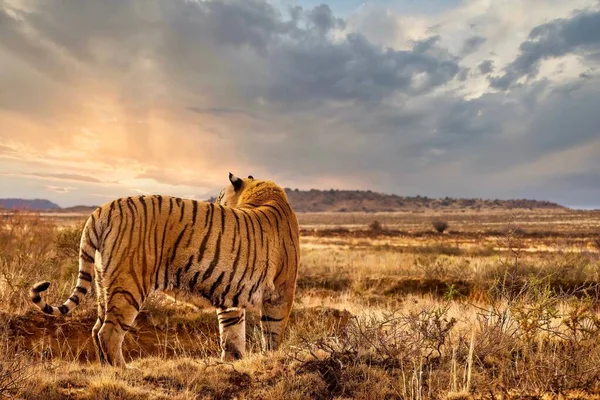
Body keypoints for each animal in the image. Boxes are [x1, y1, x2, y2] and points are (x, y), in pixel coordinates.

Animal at [29, 173, 298, 368]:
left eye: (221, 195)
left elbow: (232, 333)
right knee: (109, 332)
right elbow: (272, 331)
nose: (216, 202)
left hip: (103, 284)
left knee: (96, 329)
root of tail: (101, 209)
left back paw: (106, 367)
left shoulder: (230, 293)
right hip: (128, 285)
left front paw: (232, 362)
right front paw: (271, 359)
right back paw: (123, 370)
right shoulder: (280, 292)